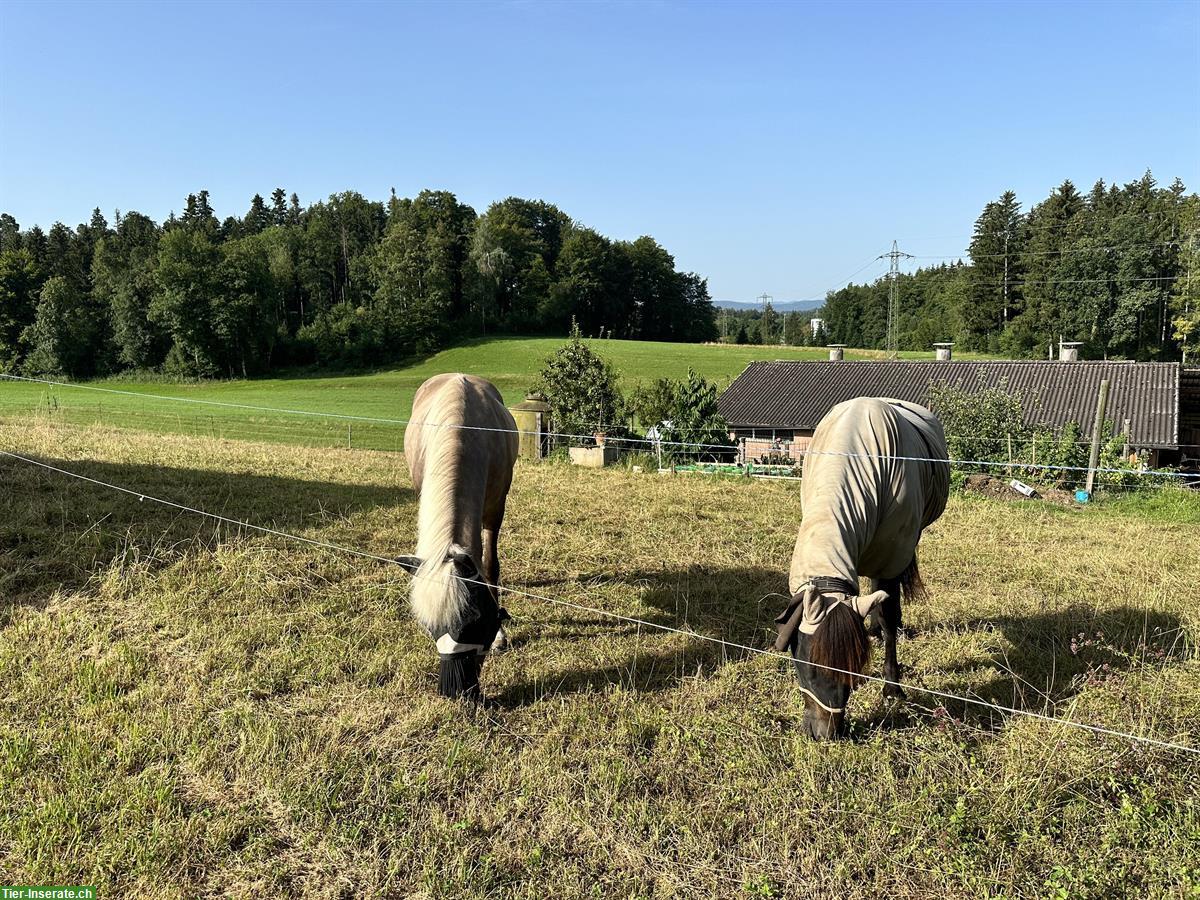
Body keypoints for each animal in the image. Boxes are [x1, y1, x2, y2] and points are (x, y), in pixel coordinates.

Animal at [398, 374, 520, 705]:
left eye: (475, 624)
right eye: (430, 628)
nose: (454, 691)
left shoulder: (496, 507)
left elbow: (490, 565)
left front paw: (501, 636)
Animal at [772, 398, 950, 744]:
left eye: (852, 668)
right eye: (809, 666)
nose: (825, 734)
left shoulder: (891, 556)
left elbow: (890, 615)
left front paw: (892, 688)